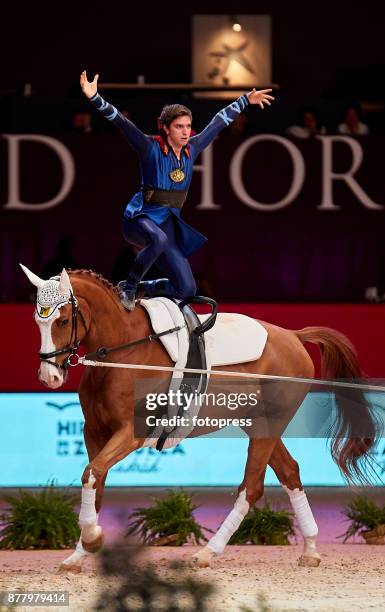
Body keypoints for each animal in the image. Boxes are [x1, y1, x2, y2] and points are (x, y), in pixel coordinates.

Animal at [20, 268, 376, 572]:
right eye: (38, 321)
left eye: (64, 320)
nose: (49, 376)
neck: (122, 353)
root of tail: (293, 335)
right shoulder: (94, 432)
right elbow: (96, 481)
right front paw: (80, 552)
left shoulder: (129, 433)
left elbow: (92, 473)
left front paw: (92, 539)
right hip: (258, 424)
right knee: (290, 473)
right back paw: (311, 549)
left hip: (268, 424)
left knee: (252, 487)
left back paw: (207, 552)